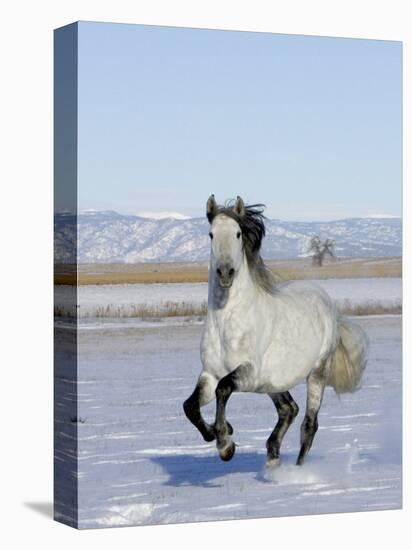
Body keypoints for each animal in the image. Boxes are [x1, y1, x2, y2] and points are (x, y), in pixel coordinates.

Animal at [183, 196, 366, 468]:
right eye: (211, 234)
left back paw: (297, 469)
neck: (227, 324)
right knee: (289, 409)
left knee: (309, 424)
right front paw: (220, 433)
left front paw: (225, 444)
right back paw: (273, 458)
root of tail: (326, 301)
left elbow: (223, 389)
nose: (225, 273)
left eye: (238, 234)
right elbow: (190, 406)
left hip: (317, 372)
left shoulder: (248, 373)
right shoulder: (209, 374)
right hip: (274, 382)